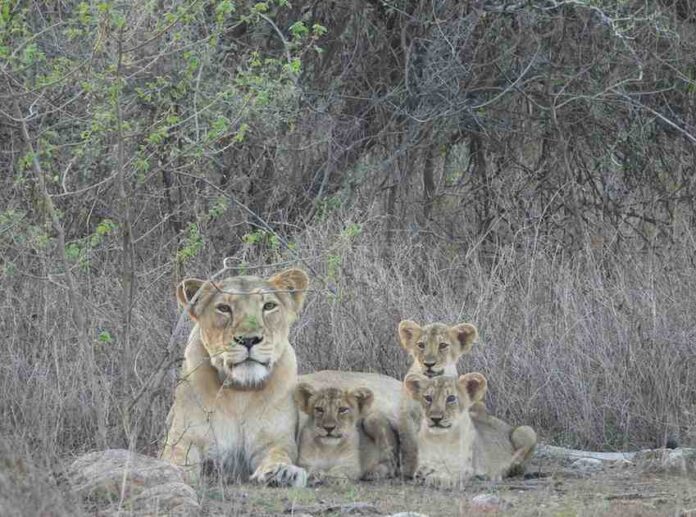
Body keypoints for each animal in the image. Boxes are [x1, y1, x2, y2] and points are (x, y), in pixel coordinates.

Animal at [161, 268, 310, 487]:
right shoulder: (186, 438)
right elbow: (176, 457)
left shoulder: (275, 440)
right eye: (224, 308)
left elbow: (279, 453)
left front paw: (282, 473)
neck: (241, 392)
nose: (249, 339)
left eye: (269, 306)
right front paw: (172, 472)